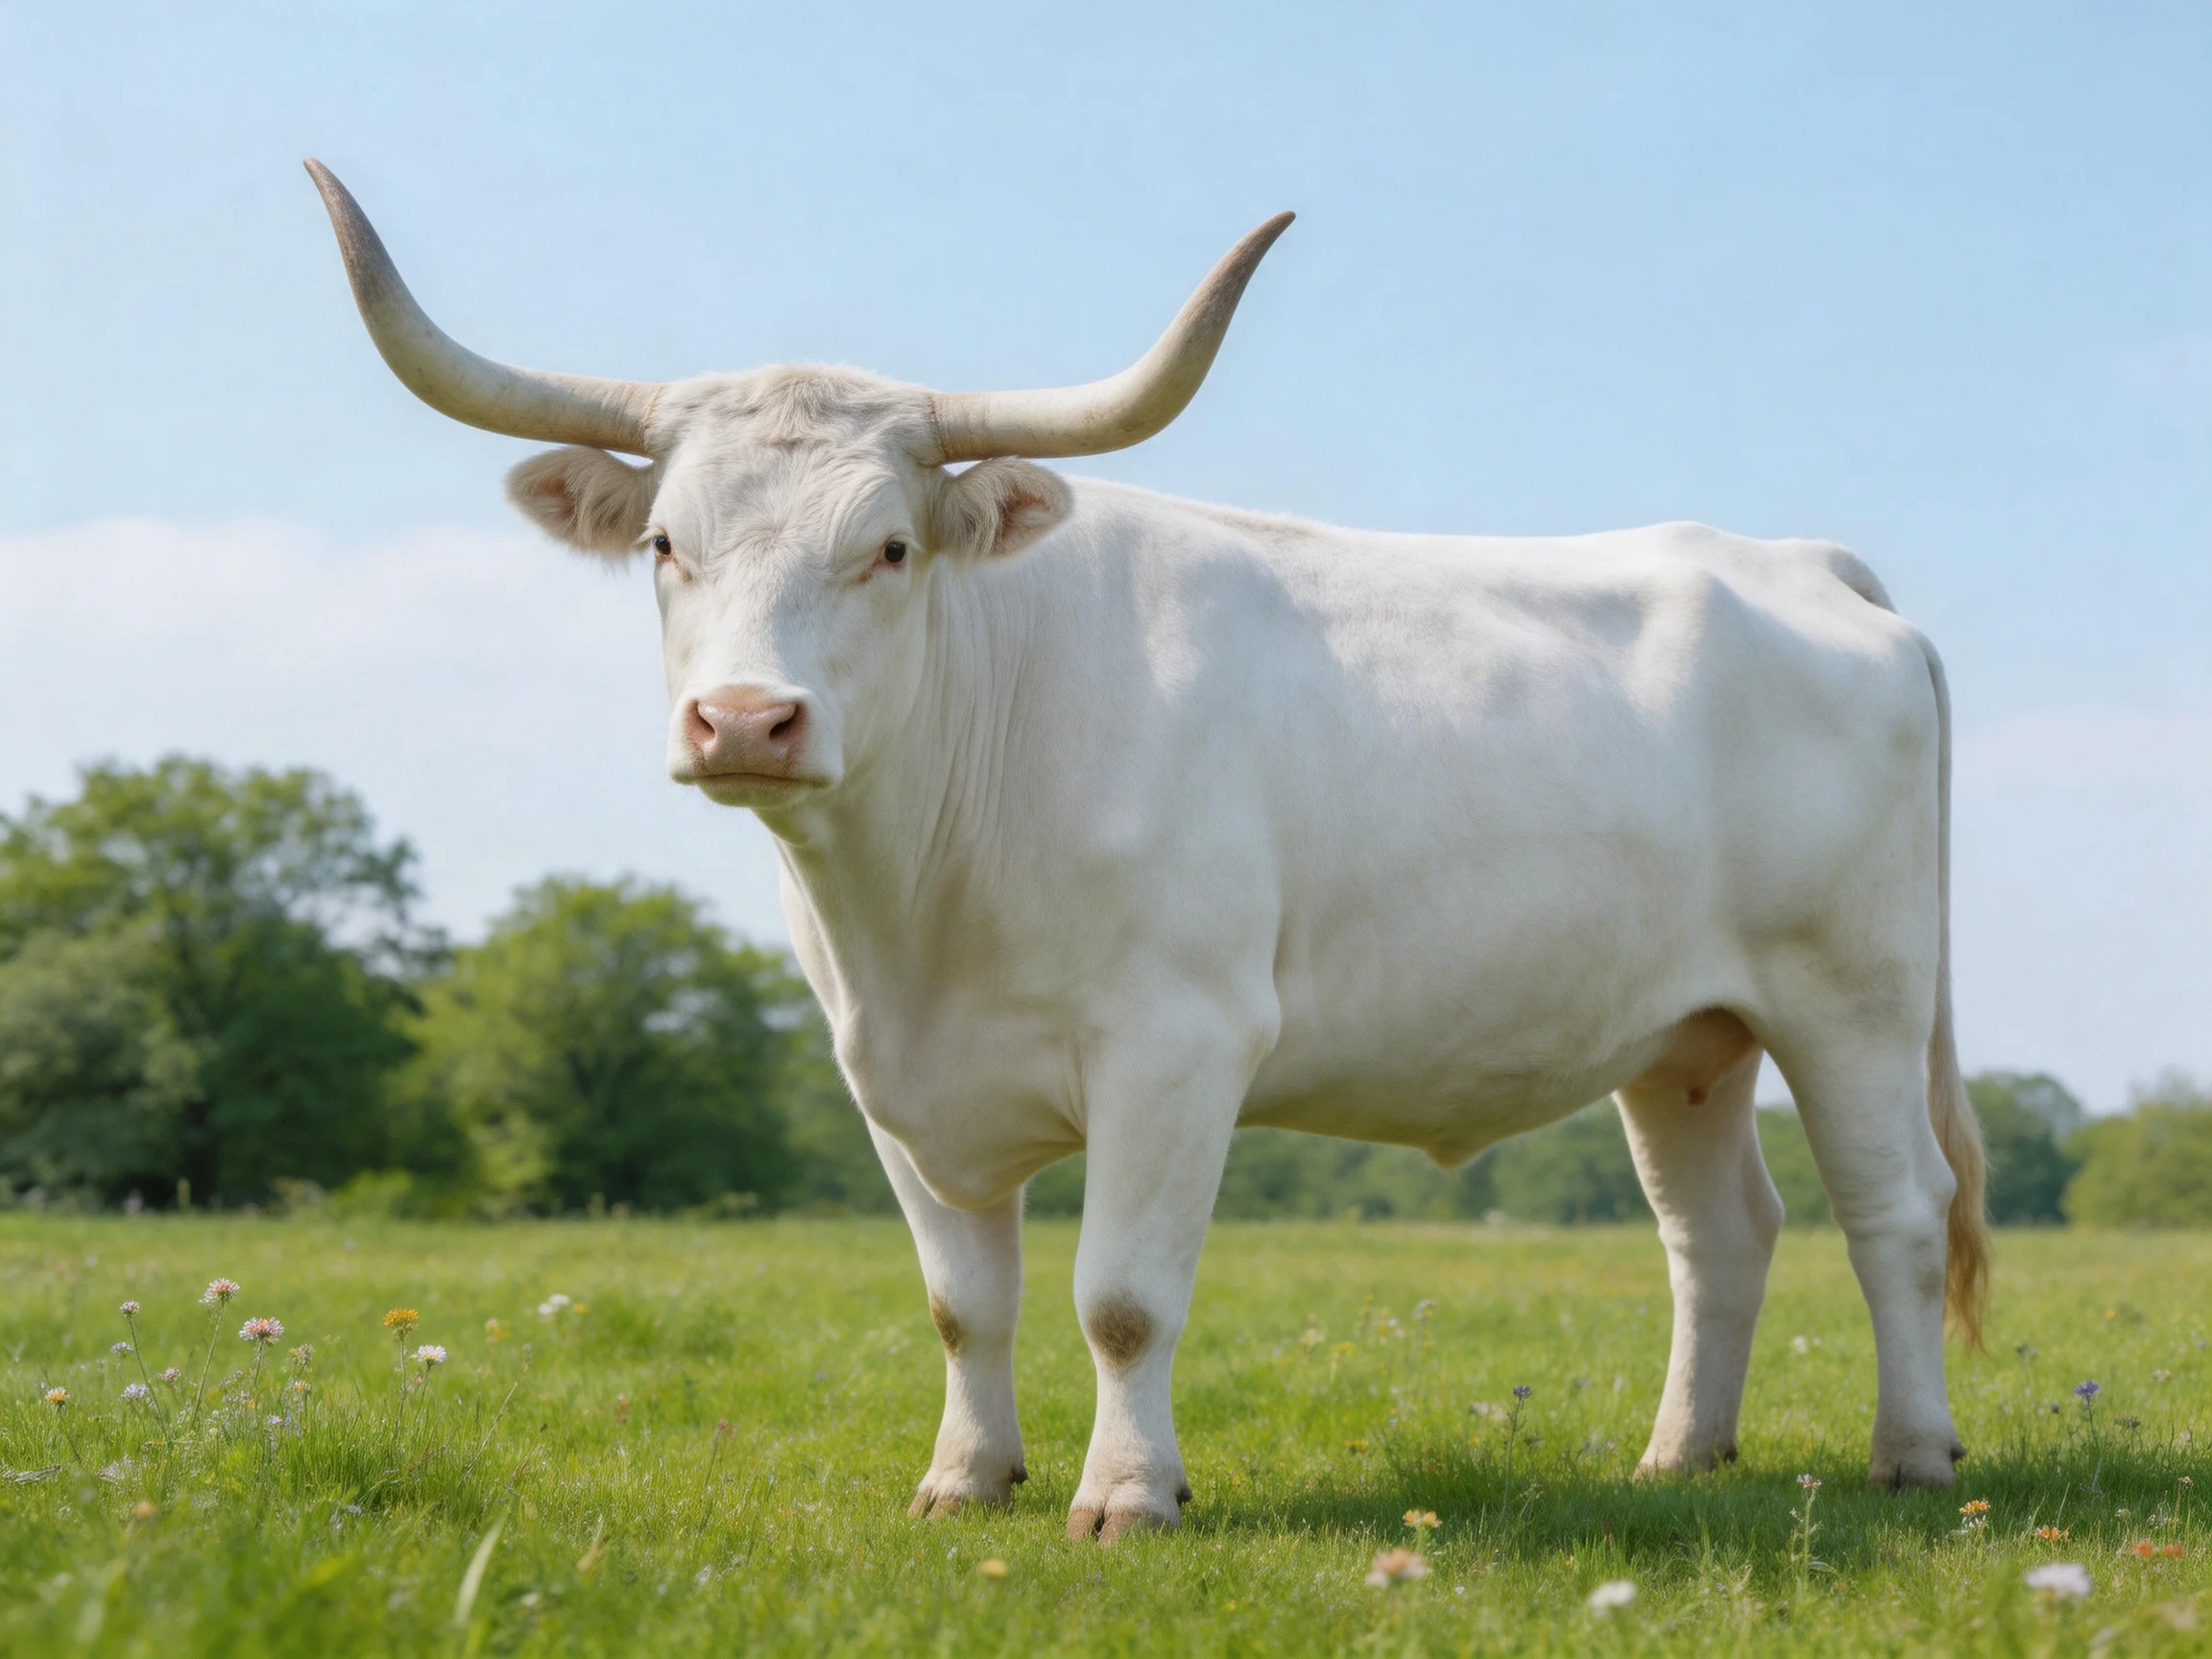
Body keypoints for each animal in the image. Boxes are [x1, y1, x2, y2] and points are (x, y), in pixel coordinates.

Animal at [306, 160, 1989, 1538]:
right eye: (668, 545)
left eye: (891, 548)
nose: (744, 721)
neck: (915, 913)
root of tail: (1796, 563)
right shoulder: (891, 1085)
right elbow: (962, 1307)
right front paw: (964, 1479)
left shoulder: (1179, 1043)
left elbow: (1119, 1299)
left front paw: (1125, 1496)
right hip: (1686, 1035)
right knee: (1720, 1234)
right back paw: (1677, 1458)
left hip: (1852, 998)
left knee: (1894, 1213)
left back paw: (1913, 1458)